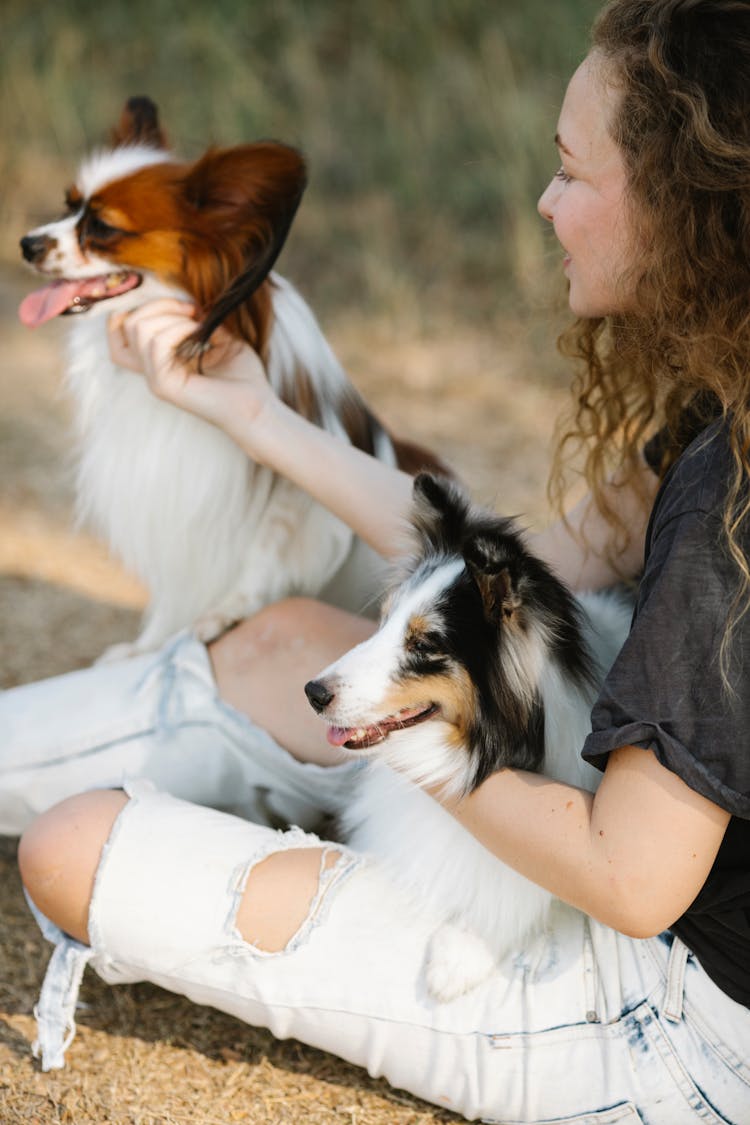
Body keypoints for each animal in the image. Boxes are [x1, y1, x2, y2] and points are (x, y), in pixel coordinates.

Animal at [17, 101, 443, 657]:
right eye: (67, 206)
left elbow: (263, 556)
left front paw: (225, 613)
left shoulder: (294, 499)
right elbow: (174, 587)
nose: (25, 244)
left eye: (103, 227)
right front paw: (148, 646)